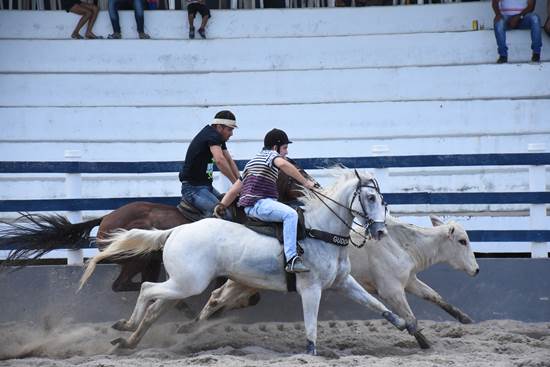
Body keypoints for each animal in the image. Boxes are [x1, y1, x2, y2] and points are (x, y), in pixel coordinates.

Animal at [0, 158, 316, 294]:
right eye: (297, 173)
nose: (313, 186)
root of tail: (106, 219)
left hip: (147, 261)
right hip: (138, 259)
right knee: (123, 285)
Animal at [78, 171, 410, 356]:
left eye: (383, 199)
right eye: (370, 197)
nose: (380, 231)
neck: (320, 230)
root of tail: (175, 231)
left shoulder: (342, 283)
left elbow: (378, 306)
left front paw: (407, 326)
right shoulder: (311, 289)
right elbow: (311, 327)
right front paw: (312, 352)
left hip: (180, 284)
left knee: (153, 306)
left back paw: (130, 340)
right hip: (187, 283)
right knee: (147, 288)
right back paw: (127, 325)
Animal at [190, 214, 478, 350]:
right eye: (462, 240)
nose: (476, 270)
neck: (400, 243)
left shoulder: (409, 280)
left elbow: (435, 296)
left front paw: (465, 318)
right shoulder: (391, 289)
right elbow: (410, 317)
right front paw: (424, 342)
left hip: (246, 282)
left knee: (216, 298)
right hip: (247, 282)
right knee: (217, 298)